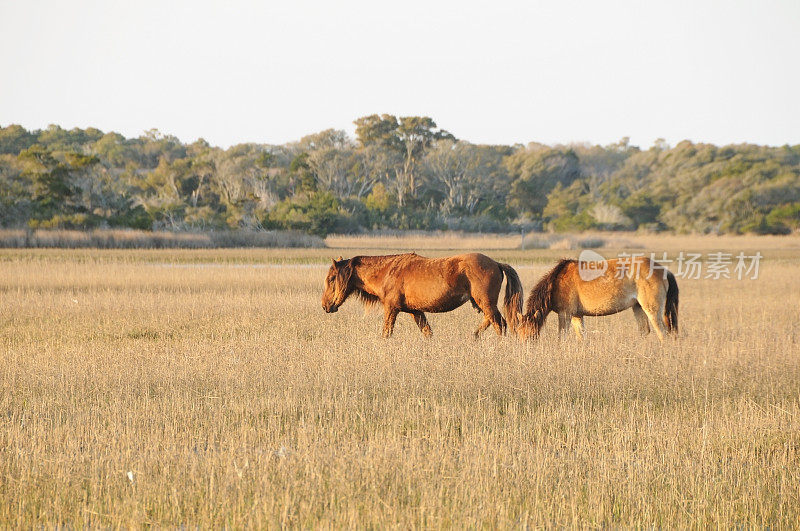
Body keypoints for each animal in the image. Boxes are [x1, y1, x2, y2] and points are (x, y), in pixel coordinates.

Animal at [320, 252, 524, 336]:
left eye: (331, 279)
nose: (325, 305)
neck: (388, 272)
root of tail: (496, 263)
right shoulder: (416, 312)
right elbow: (427, 333)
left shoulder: (391, 309)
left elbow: (386, 333)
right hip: (481, 303)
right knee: (491, 321)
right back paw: (473, 337)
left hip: (486, 303)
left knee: (499, 324)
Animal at [516, 256, 680, 340]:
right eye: (519, 334)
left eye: (531, 335)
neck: (557, 281)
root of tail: (664, 270)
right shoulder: (577, 316)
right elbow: (582, 337)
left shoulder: (565, 314)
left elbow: (561, 337)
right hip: (638, 307)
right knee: (644, 331)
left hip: (651, 310)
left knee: (663, 333)